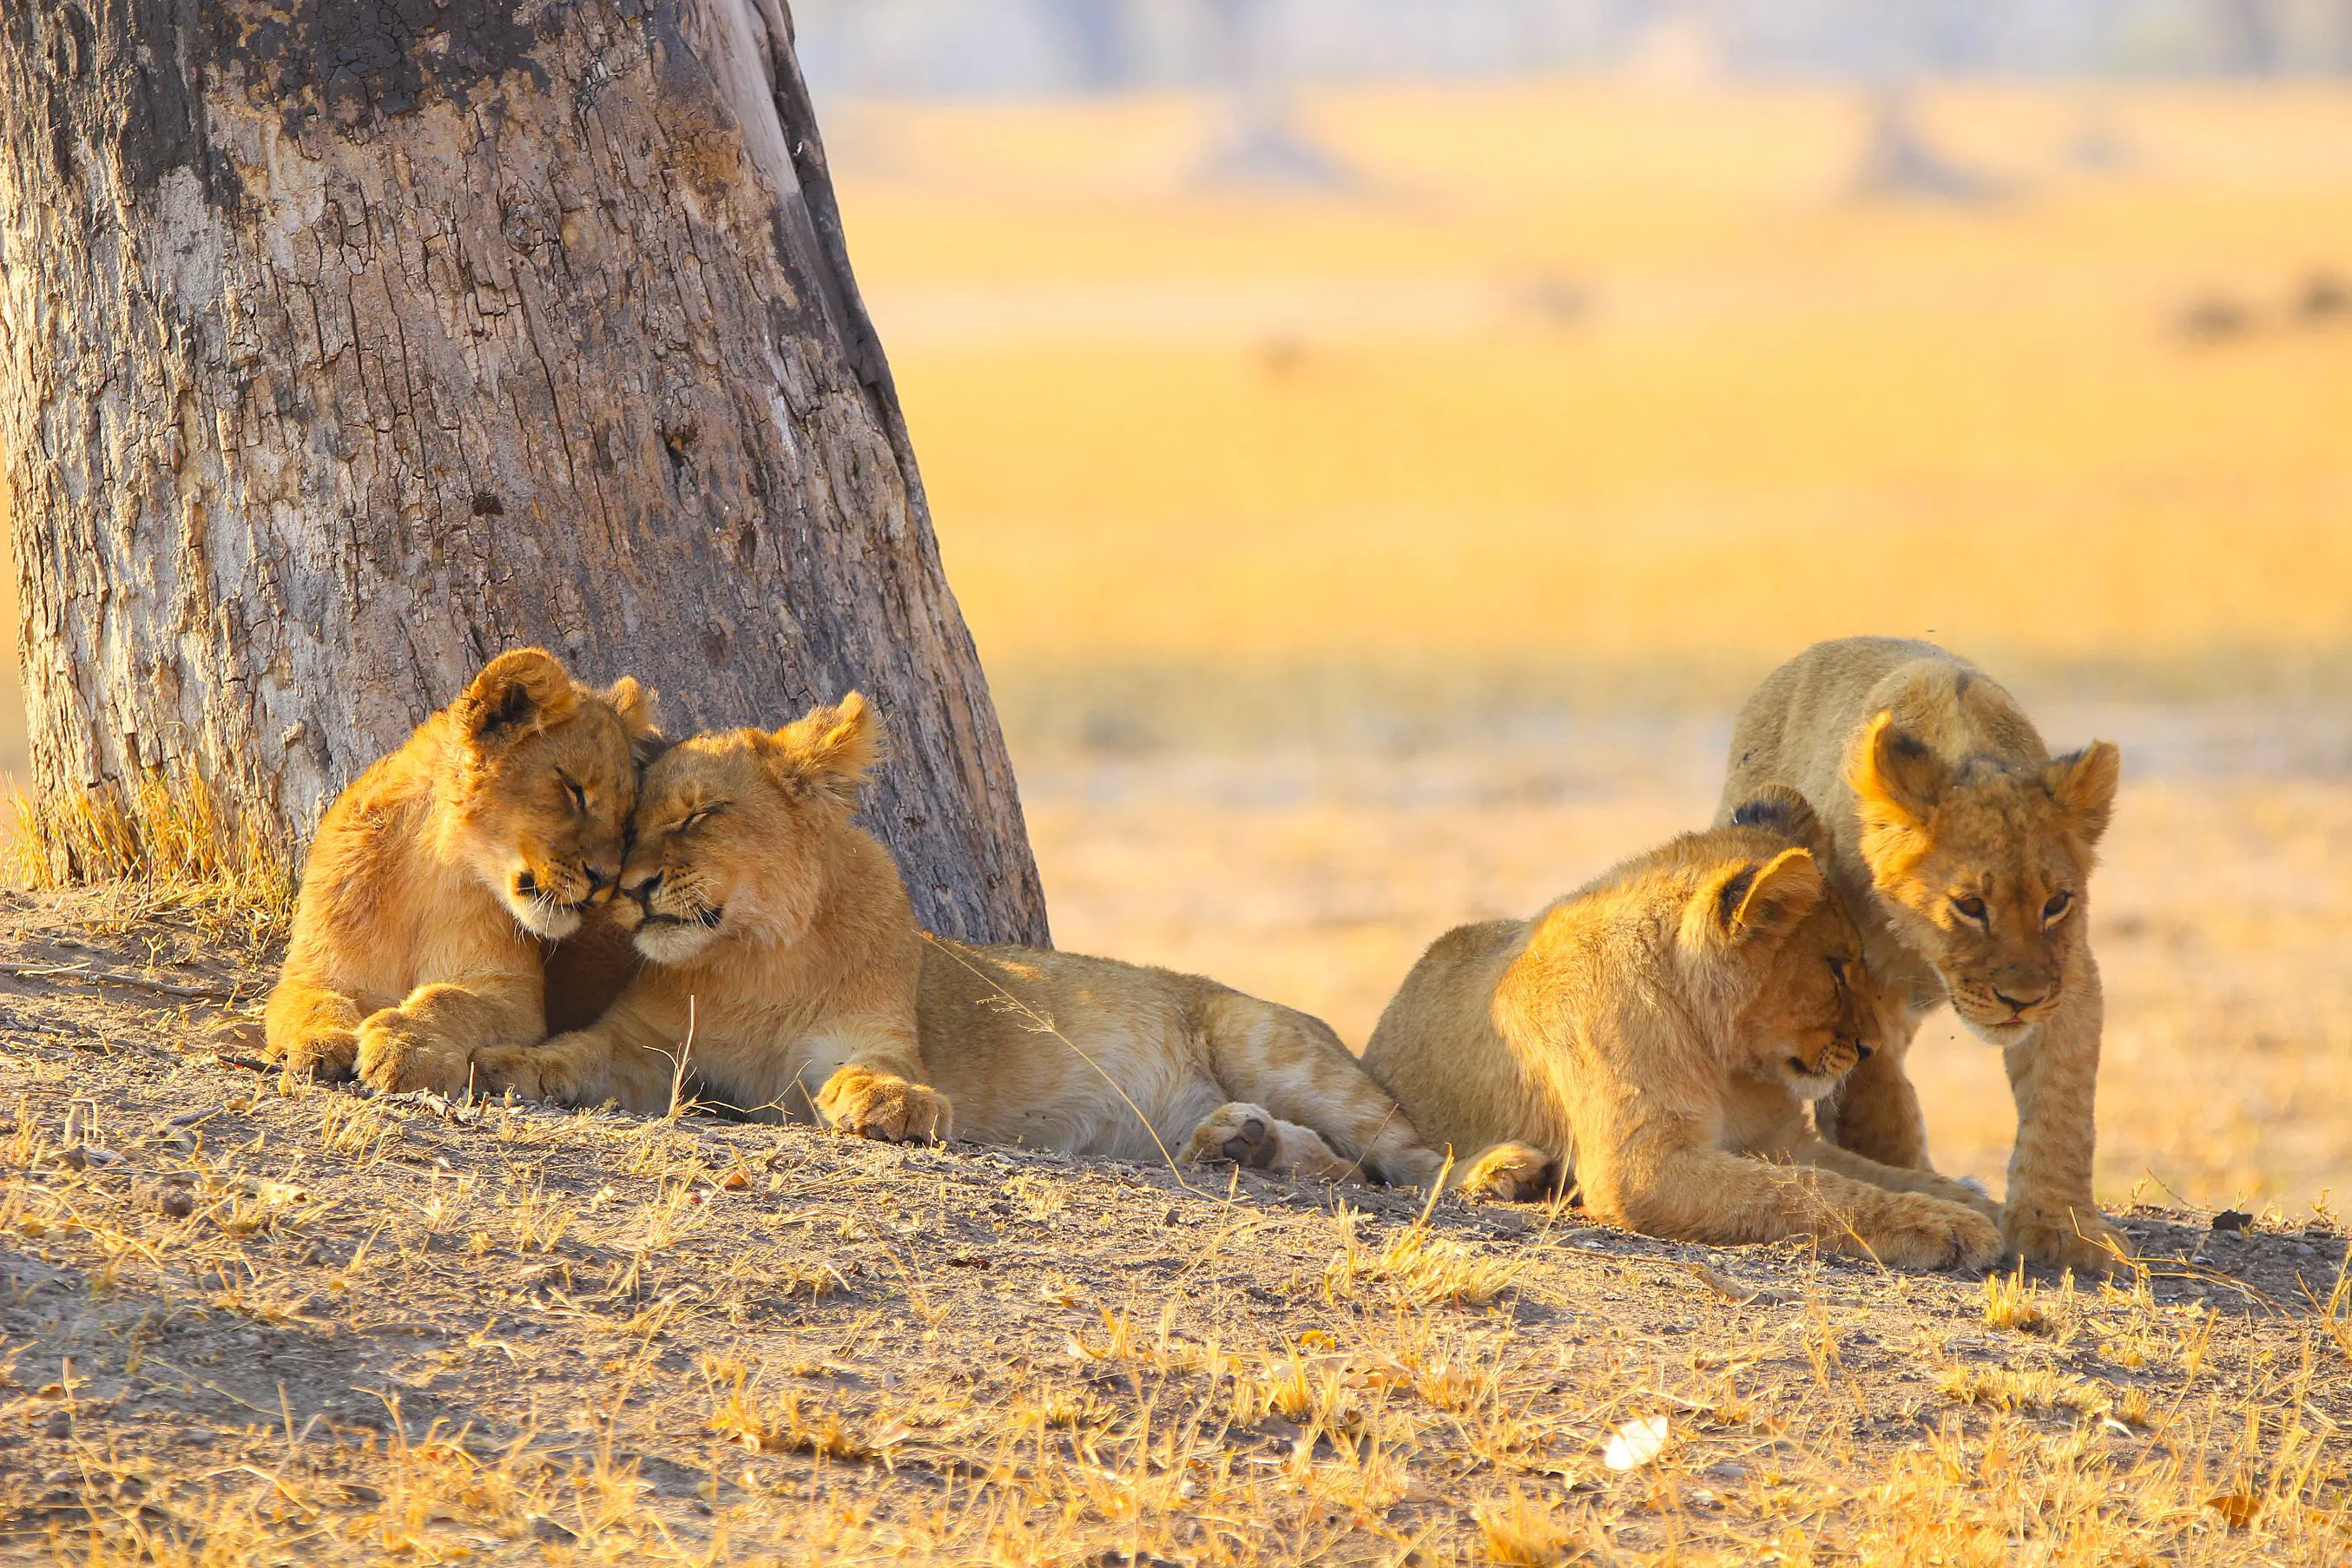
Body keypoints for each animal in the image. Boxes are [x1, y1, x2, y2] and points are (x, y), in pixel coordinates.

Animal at [263, 649, 661, 1097]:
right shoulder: (315, 970)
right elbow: (314, 1001)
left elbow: (450, 1000)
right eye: (574, 790)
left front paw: (407, 1047)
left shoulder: (511, 994)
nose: (606, 881)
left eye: (625, 819)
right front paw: (320, 1044)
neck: (429, 868)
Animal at [475, 695, 1543, 1191]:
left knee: (1398, 1153)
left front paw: (893, 1109)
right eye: (628, 823)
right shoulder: (645, 1049)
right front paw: (501, 1064)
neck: (748, 957)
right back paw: (1235, 1141)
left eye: (699, 815)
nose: (628, 888)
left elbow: (870, 1074)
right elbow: (573, 1053)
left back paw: (1493, 1170)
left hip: (1269, 1040)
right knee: (1336, 1162)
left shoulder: (865, 1033)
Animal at [1361, 787, 2001, 1269]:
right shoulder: (1642, 1168)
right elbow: (1806, 1192)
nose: (1869, 1048)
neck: (1720, 1057)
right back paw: (1510, 1175)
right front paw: (1949, 1226)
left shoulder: (1781, 1141)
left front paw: (1984, 1208)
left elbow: (1872, 1175)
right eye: (1837, 967)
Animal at [1718, 637, 2126, 1271]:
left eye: (2056, 903)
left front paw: (2060, 1227)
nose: (2021, 1001)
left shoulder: (2070, 973)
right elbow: (1876, 1105)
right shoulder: (1853, 987)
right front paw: (1921, 1193)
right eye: (1969, 905)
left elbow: (2060, 1101)